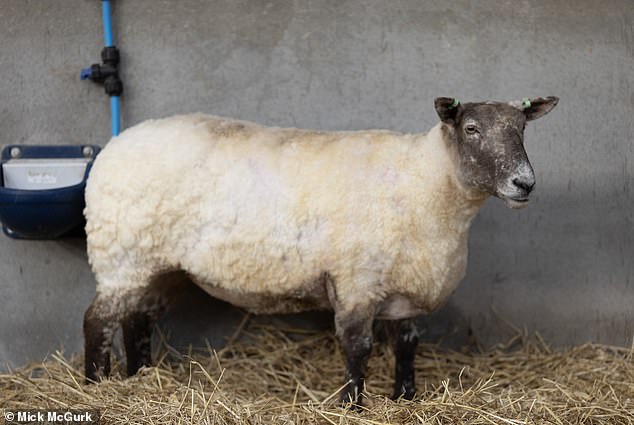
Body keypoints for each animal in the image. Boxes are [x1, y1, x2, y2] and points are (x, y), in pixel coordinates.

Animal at [82, 97, 552, 404]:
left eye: (522, 129)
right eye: (472, 129)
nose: (524, 183)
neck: (428, 182)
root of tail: (114, 146)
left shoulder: (405, 284)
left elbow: (407, 344)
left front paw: (406, 398)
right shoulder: (357, 281)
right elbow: (357, 347)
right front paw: (352, 405)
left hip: (160, 266)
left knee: (137, 320)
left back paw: (139, 376)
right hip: (122, 254)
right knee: (97, 322)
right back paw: (94, 386)